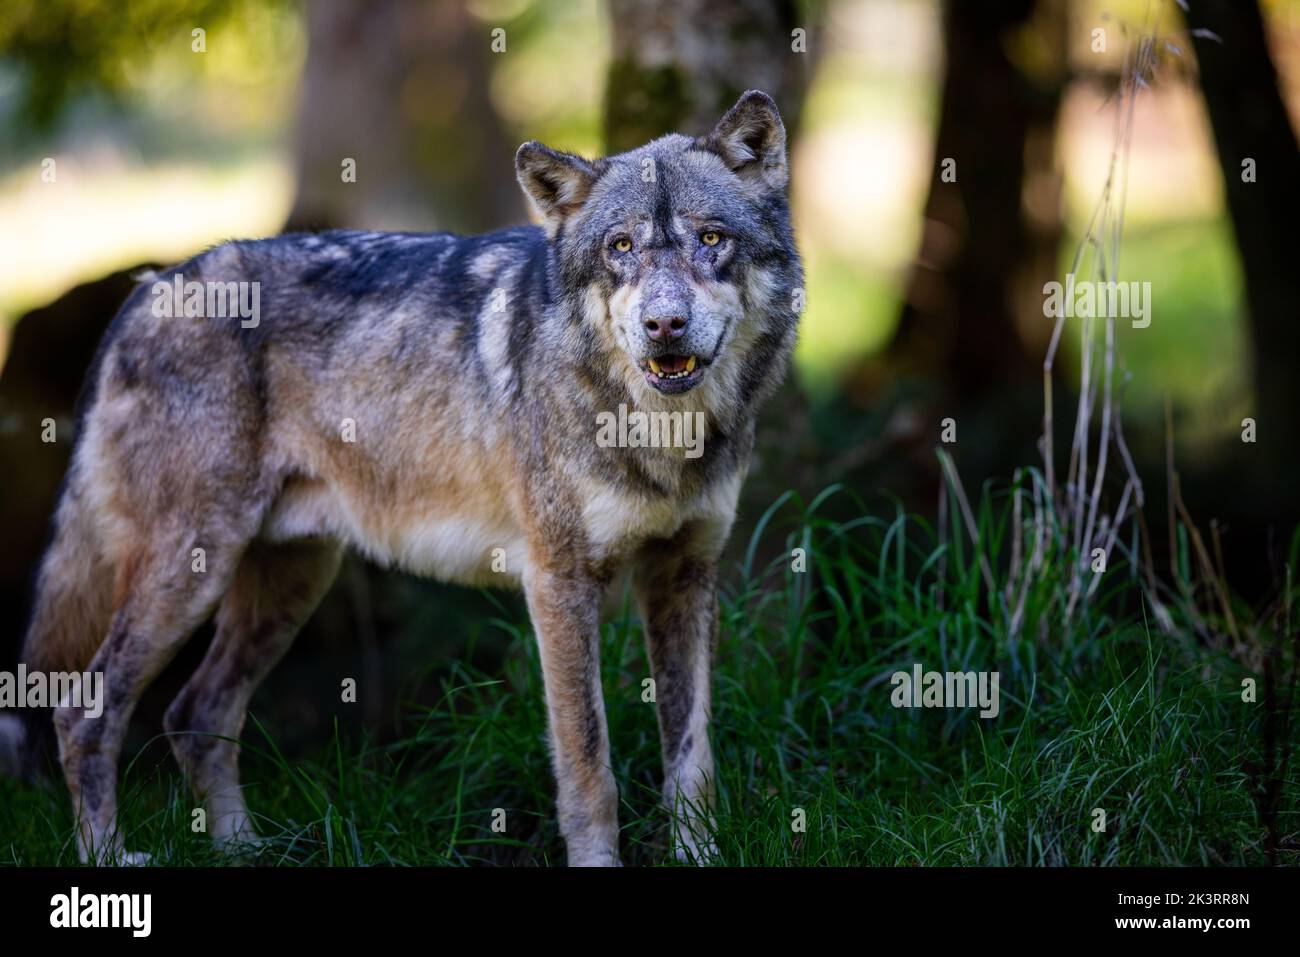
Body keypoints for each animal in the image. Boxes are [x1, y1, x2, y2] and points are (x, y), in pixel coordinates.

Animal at [9, 90, 802, 866]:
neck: (664, 437)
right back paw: (110, 859)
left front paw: (699, 855)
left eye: (711, 240)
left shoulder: (684, 573)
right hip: (190, 576)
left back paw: (243, 850)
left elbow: (692, 760)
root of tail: (143, 293)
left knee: (194, 711)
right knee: (85, 710)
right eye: (622, 248)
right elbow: (589, 768)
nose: (665, 326)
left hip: (289, 584)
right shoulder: (559, 583)